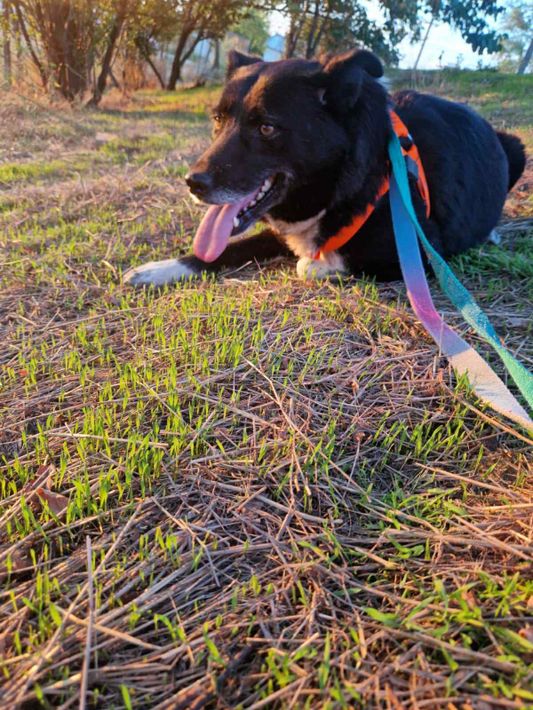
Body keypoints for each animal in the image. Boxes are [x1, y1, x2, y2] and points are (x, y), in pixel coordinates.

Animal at [124, 48, 526, 287]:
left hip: (517, 148)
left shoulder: (425, 254)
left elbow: (321, 261)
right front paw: (161, 267)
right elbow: (228, 248)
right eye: (218, 120)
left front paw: (316, 264)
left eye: (266, 127)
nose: (192, 183)